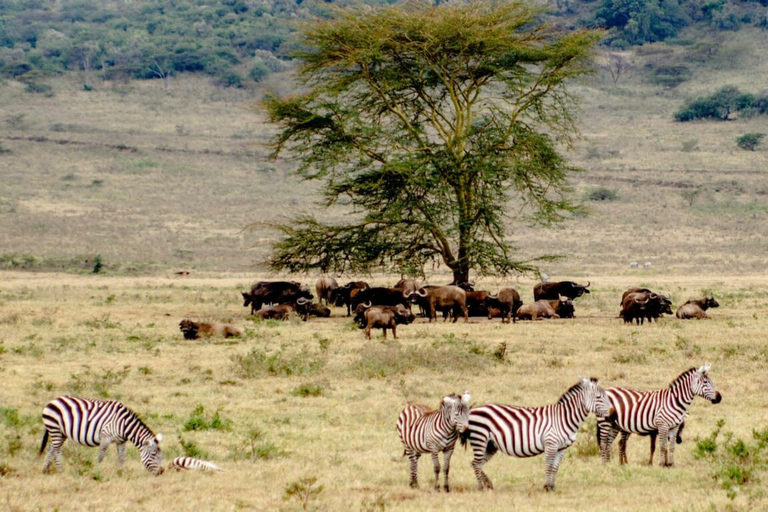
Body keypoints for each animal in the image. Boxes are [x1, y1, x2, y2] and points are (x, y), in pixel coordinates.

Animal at [462, 376, 612, 492]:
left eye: (606, 396)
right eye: (599, 397)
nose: (612, 412)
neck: (564, 418)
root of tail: (473, 410)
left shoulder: (562, 448)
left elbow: (555, 468)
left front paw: (552, 487)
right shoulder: (551, 444)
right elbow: (549, 466)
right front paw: (546, 487)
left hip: (490, 445)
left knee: (476, 463)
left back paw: (488, 485)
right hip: (480, 439)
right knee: (476, 463)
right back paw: (481, 487)